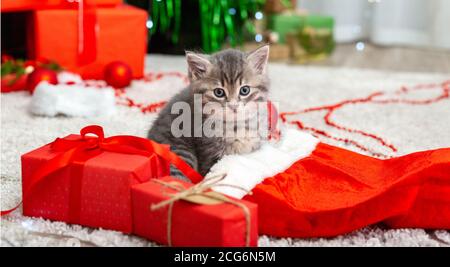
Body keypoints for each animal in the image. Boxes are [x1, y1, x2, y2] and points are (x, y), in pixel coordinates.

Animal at [148, 45, 268, 180]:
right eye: (219, 92)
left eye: (244, 90)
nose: (233, 106)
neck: (236, 125)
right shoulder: (210, 154)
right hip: (180, 150)